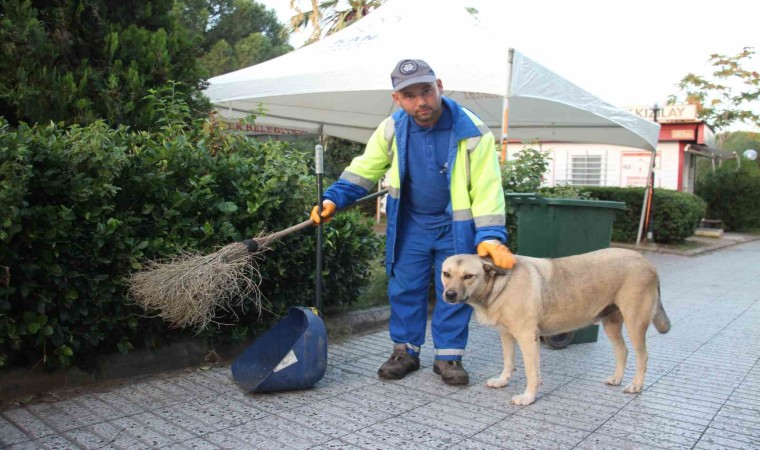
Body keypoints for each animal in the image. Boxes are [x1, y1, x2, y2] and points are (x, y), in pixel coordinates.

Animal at [440, 248, 672, 406]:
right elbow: (509, 362)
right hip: (611, 323)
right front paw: (503, 381)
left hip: (635, 323)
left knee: (642, 356)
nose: (449, 295)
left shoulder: (527, 337)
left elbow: (531, 372)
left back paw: (636, 385)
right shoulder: (506, 335)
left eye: (468, 276)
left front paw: (528, 397)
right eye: (446, 274)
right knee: (622, 350)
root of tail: (647, 262)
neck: (500, 285)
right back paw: (616, 378)